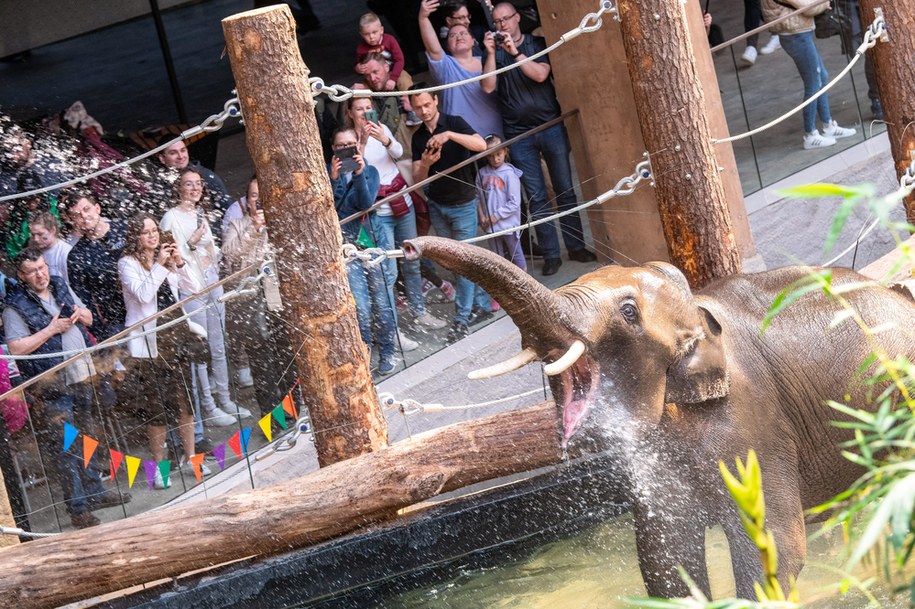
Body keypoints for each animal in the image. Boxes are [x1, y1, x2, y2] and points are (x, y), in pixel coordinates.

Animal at [402, 236, 915, 600]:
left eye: (629, 312)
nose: (407, 248)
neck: (696, 311)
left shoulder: (754, 424)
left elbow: (773, 547)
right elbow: (663, 555)